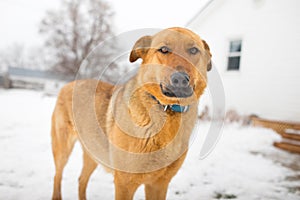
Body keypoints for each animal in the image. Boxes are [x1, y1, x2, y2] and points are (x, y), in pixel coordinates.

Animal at [51, 27, 211, 200]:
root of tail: (69, 84)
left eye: (193, 50)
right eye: (163, 50)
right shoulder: (124, 183)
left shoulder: (159, 184)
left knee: (81, 179)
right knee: (57, 175)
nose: (180, 79)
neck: (166, 109)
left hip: (94, 153)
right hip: (63, 149)